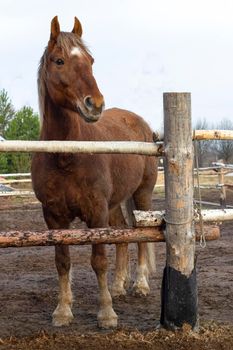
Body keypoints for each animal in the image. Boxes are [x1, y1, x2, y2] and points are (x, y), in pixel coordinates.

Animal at [31, 15, 157, 328]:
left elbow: (99, 259)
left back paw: (140, 285)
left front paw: (106, 313)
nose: (95, 104)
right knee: (123, 234)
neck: (67, 156)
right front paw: (63, 310)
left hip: (142, 196)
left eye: (91, 60)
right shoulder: (53, 216)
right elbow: (62, 261)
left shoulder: (96, 211)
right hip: (114, 204)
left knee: (141, 235)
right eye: (59, 60)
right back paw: (119, 286)